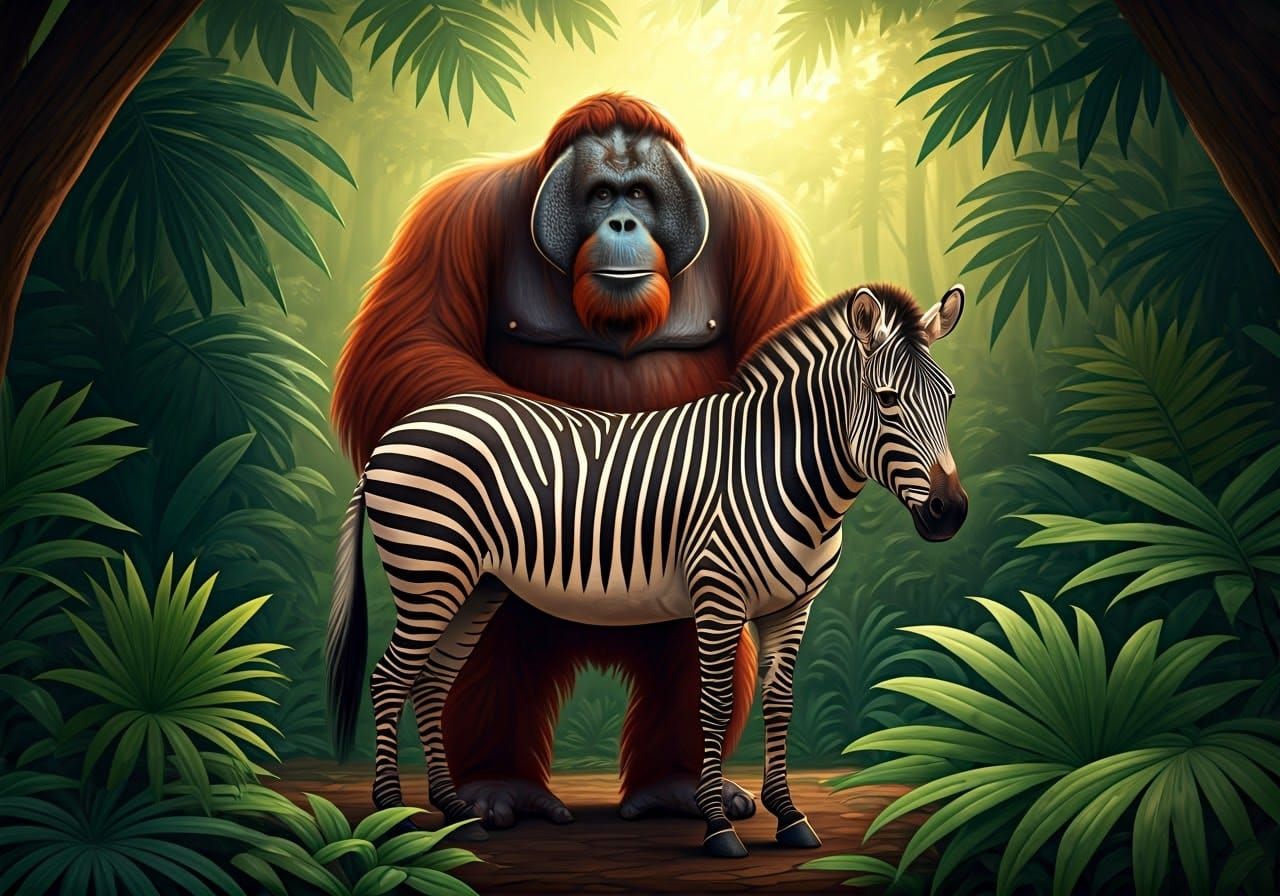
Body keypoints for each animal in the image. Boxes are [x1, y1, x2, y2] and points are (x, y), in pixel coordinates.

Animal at [327, 282, 968, 858]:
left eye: (951, 397)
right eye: (887, 400)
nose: (951, 512)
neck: (781, 469)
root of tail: (392, 437)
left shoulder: (794, 606)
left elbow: (779, 704)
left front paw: (788, 816)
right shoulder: (718, 595)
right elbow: (714, 704)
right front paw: (718, 827)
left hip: (474, 586)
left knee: (430, 682)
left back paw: (456, 810)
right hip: (429, 572)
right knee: (389, 679)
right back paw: (394, 817)